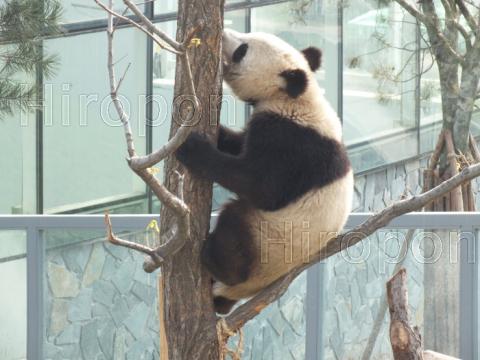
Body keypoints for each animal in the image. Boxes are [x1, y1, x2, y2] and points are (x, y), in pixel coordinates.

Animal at [176, 29, 352, 314]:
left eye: (243, 50)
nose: (225, 33)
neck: (296, 97)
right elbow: (240, 145)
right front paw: (218, 134)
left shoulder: (293, 143)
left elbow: (260, 187)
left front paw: (192, 146)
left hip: (267, 240)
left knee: (235, 223)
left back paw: (216, 261)